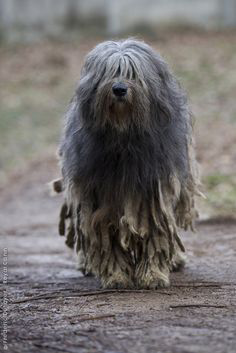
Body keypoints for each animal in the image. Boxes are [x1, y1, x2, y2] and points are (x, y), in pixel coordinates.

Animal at [52, 38, 202, 288]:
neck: (123, 138)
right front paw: (116, 275)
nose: (119, 89)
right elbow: (106, 235)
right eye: (109, 72)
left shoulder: (152, 192)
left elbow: (155, 232)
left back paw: (175, 260)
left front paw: (152, 274)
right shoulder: (101, 196)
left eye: (133, 74)